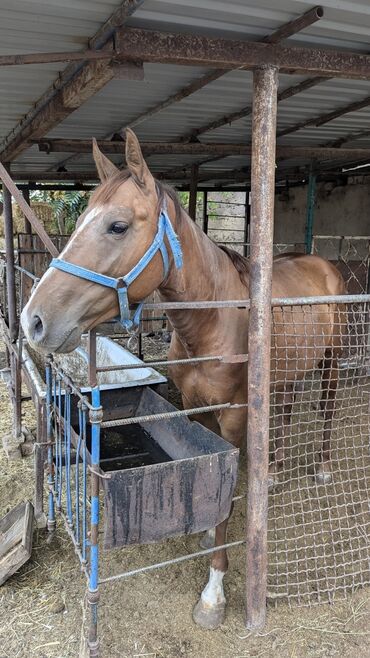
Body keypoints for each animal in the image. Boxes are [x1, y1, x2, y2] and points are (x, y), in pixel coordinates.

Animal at [21, 128, 346, 624]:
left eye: (117, 226)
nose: (34, 320)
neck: (213, 320)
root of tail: (323, 263)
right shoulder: (195, 408)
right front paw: (211, 529)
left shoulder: (233, 418)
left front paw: (214, 591)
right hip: (285, 372)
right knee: (287, 412)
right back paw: (273, 473)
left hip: (331, 362)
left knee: (327, 409)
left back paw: (324, 468)